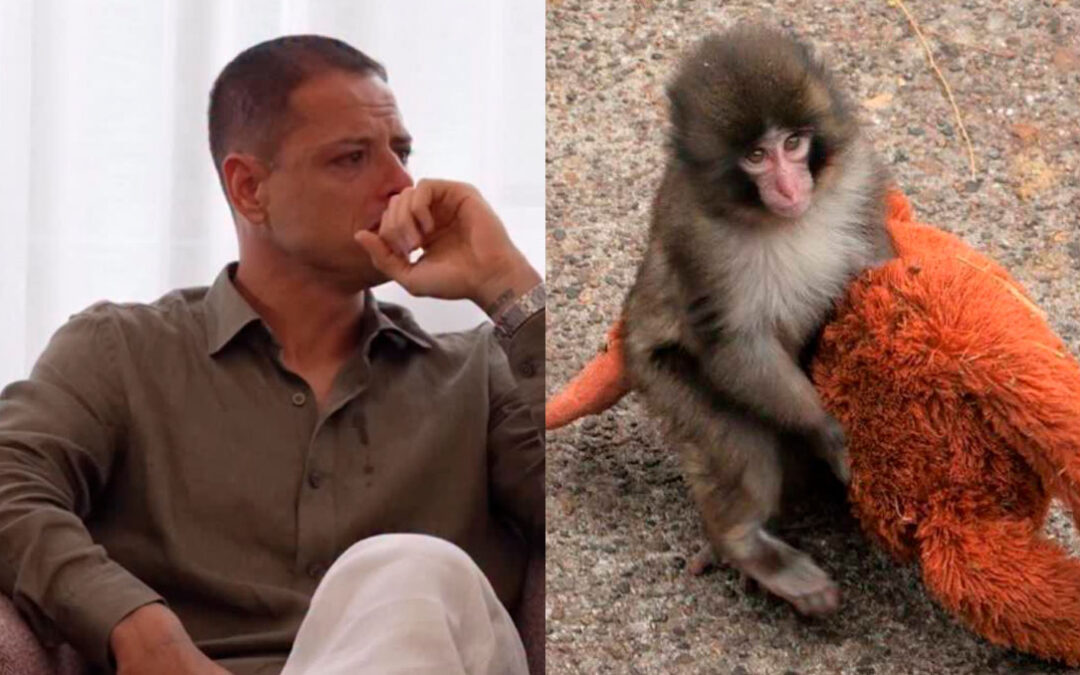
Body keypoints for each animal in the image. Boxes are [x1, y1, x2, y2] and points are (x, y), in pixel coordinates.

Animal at [622, 25, 895, 616]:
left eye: (793, 144)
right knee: (741, 445)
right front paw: (829, 432)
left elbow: (878, 269)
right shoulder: (696, 238)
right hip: (661, 377)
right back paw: (746, 545)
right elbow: (734, 345)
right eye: (755, 156)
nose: (790, 188)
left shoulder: (859, 180)